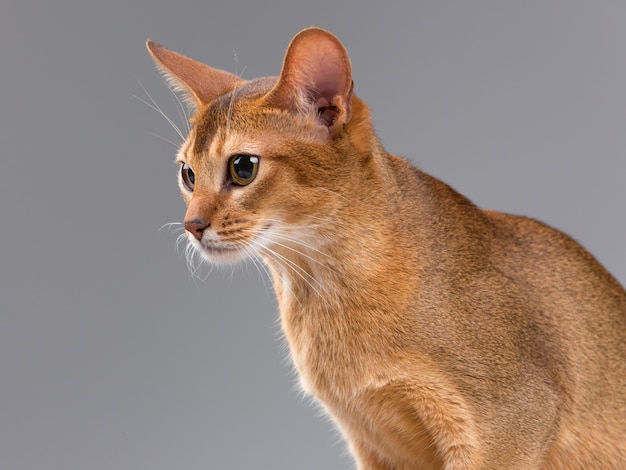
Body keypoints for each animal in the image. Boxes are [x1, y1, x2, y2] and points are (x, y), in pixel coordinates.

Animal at [147, 26, 624, 470]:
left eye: (243, 168)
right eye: (188, 173)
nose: (192, 226)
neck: (322, 290)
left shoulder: (510, 423)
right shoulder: (376, 443)